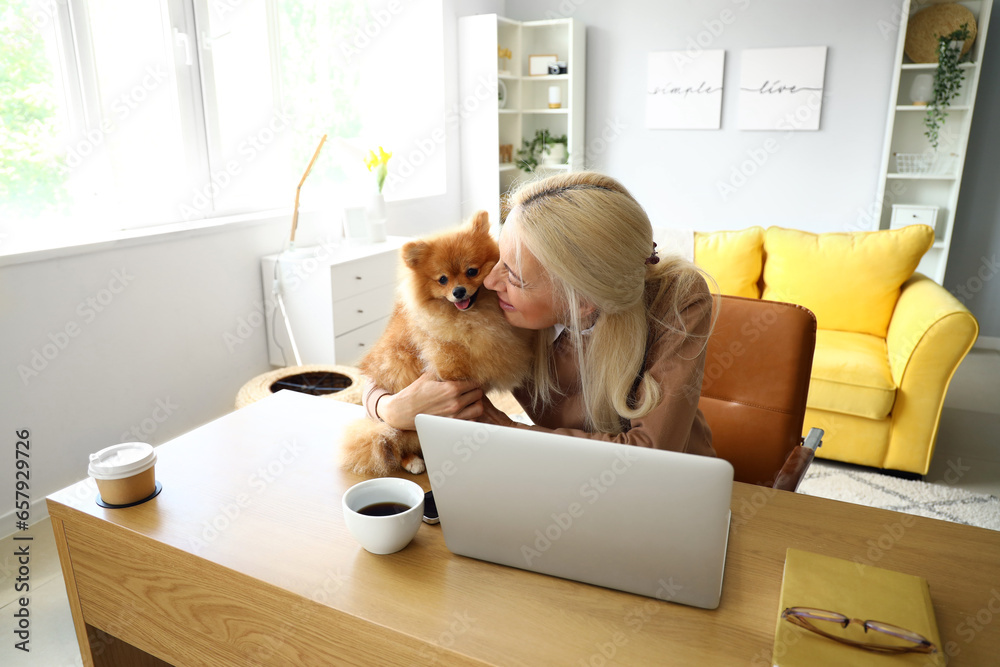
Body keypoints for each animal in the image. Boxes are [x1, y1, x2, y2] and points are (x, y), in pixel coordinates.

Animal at [340, 211, 536, 478]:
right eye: (442, 279)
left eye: (472, 271)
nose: (458, 291)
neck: (472, 316)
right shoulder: (453, 374)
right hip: (400, 428)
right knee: (393, 442)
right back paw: (413, 461)